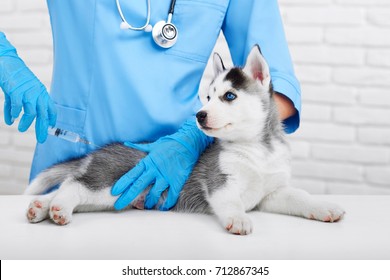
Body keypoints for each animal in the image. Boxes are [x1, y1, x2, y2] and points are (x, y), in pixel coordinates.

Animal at [25, 45, 344, 234]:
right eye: (208, 97)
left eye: (229, 96)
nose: (199, 116)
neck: (257, 150)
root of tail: (99, 151)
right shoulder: (220, 183)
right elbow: (231, 202)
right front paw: (239, 218)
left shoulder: (272, 192)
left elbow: (300, 196)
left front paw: (324, 207)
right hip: (109, 182)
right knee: (73, 186)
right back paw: (58, 209)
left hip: (110, 197)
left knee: (68, 185)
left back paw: (40, 208)